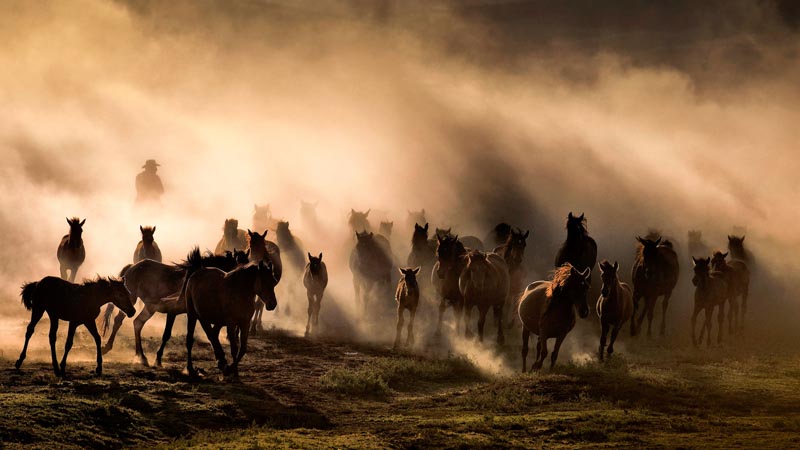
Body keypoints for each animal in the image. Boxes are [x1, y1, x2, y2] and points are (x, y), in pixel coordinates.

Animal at [102, 249, 241, 366]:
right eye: (232, 269)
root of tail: (131, 267)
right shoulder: (173, 312)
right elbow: (167, 334)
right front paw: (158, 359)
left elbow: (211, 334)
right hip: (131, 300)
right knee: (119, 320)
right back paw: (108, 348)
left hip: (149, 308)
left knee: (137, 323)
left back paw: (141, 356)